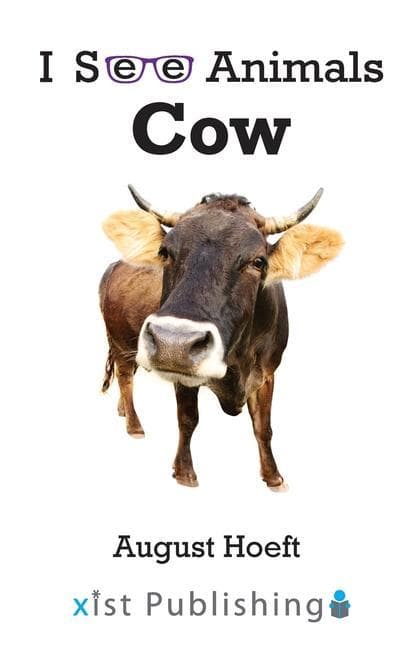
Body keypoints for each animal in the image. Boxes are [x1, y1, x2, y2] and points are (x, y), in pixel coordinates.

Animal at [99, 185, 343, 489]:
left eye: (258, 261)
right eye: (165, 252)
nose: (173, 343)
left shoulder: (267, 372)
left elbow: (263, 427)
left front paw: (273, 477)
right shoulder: (183, 375)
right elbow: (188, 419)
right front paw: (184, 473)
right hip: (120, 341)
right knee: (125, 377)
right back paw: (134, 425)